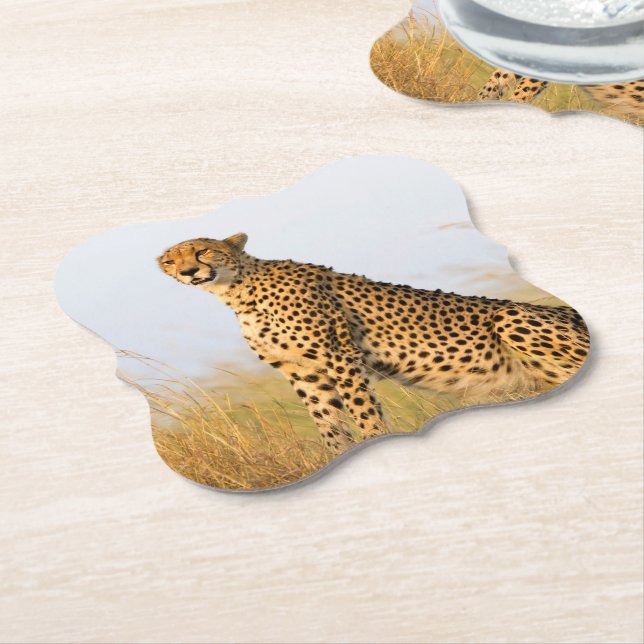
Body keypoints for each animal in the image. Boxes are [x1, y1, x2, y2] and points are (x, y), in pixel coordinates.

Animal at [158, 233, 590, 452]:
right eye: (170, 261)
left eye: (203, 250)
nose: (189, 271)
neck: (236, 291)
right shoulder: (302, 371)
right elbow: (326, 419)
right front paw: (339, 455)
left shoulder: (338, 354)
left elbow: (362, 409)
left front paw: (375, 441)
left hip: (509, 318)